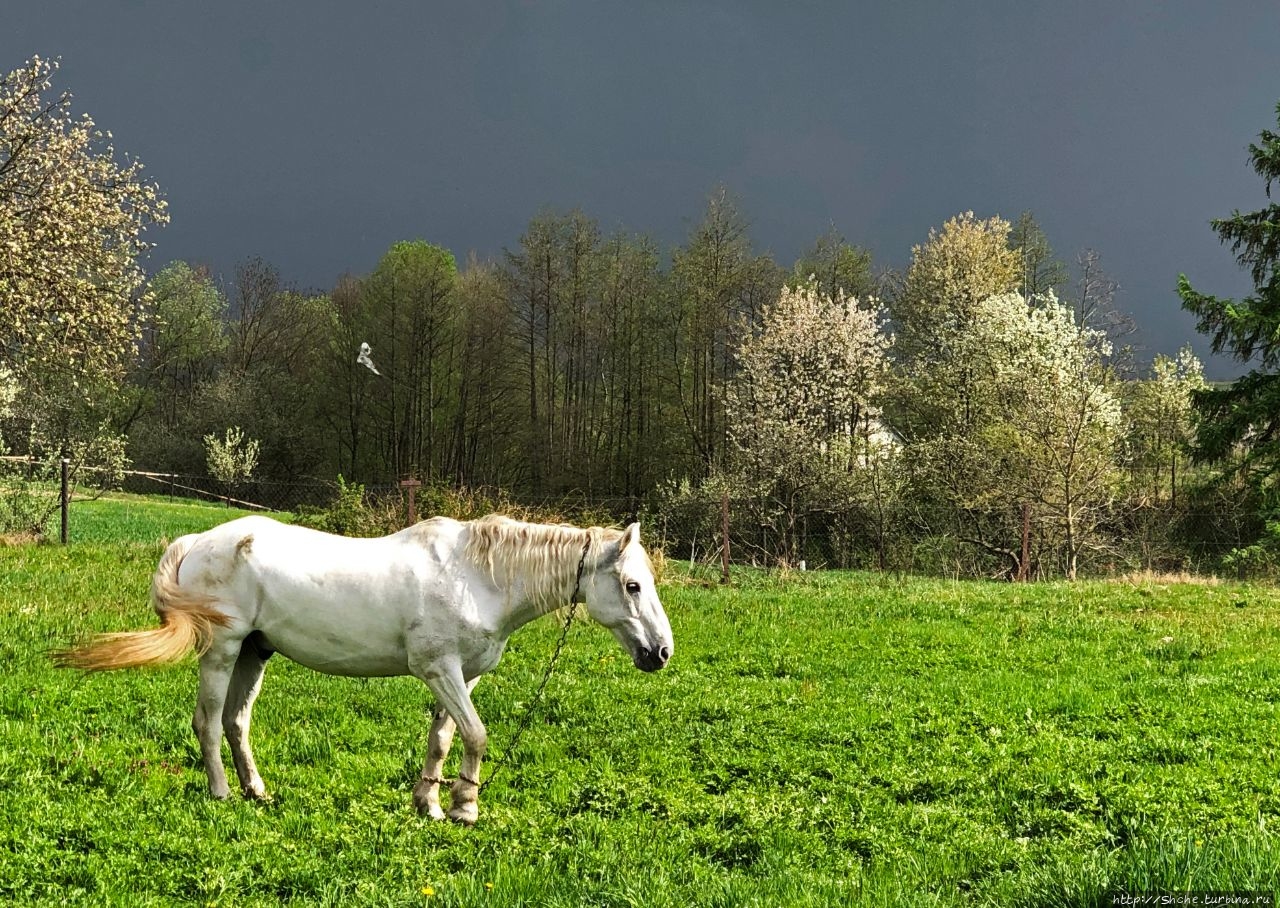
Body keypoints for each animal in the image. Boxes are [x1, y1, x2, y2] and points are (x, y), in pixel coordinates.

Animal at [55, 514, 675, 824]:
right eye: (632, 585)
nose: (662, 652)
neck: (478, 576)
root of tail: (198, 541)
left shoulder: (461, 674)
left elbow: (444, 739)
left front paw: (428, 804)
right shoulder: (438, 668)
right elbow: (476, 734)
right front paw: (465, 809)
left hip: (255, 651)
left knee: (236, 722)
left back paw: (258, 792)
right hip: (223, 648)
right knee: (207, 723)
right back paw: (222, 794)